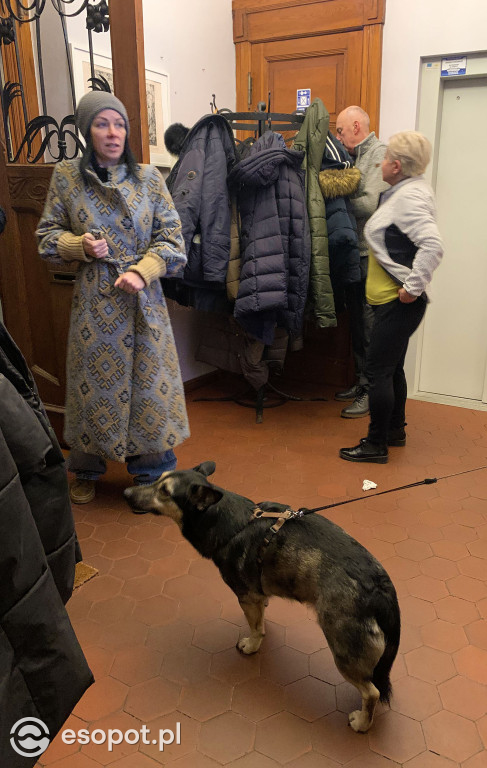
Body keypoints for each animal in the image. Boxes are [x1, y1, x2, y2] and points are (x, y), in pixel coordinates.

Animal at [125, 462, 400, 732]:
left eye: (165, 492)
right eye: (157, 479)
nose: (126, 493)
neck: (227, 520)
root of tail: (381, 587)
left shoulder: (247, 597)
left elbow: (255, 628)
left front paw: (252, 645)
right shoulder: (257, 595)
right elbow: (261, 615)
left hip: (344, 652)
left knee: (372, 692)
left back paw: (362, 723)